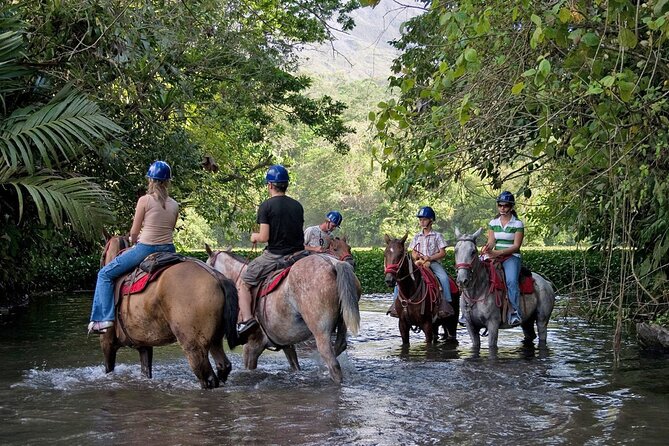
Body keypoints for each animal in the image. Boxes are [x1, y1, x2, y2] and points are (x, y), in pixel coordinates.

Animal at [94, 235, 240, 388]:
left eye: (103, 255)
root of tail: (217, 277)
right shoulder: (144, 345)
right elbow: (145, 370)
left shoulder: (107, 341)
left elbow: (109, 368)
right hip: (215, 339)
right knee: (224, 365)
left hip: (193, 345)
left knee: (207, 377)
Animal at [205, 244, 360, 384]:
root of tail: (333, 263)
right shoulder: (286, 343)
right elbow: (294, 365)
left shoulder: (252, 346)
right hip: (342, 323)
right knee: (339, 346)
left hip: (321, 333)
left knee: (333, 363)